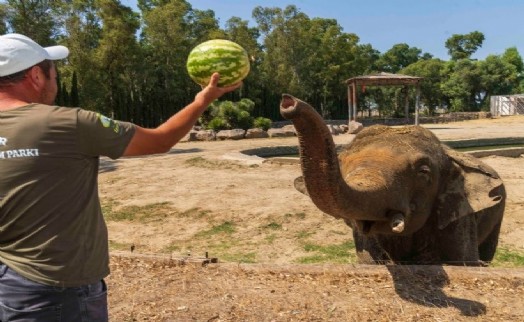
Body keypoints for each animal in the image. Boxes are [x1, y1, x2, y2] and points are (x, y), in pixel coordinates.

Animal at [280, 93, 506, 266]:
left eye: (424, 172)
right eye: (341, 164)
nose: (287, 102)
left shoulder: (458, 216)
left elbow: (463, 261)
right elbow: (370, 260)